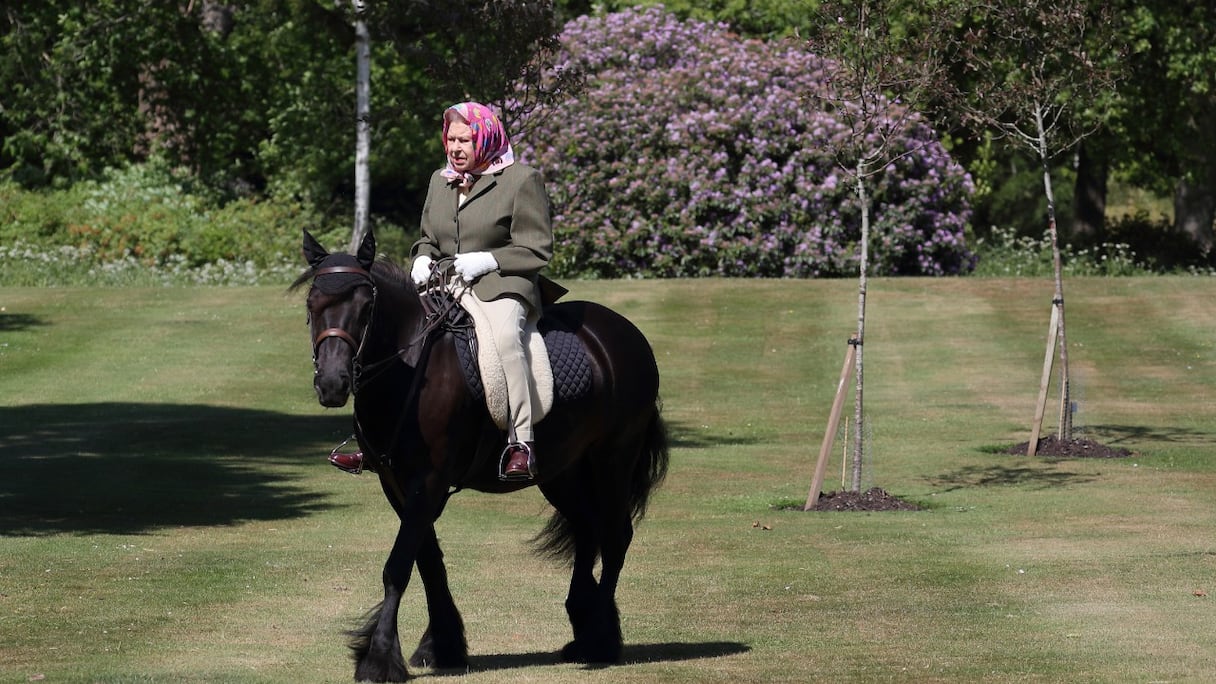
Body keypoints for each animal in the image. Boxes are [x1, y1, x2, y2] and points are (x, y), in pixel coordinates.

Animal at [297, 231, 671, 676]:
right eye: (312, 305)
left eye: (366, 307)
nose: (332, 384)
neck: (410, 366)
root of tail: (624, 333)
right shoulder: (397, 484)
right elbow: (428, 562)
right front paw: (442, 645)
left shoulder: (429, 481)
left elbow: (398, 566)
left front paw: (379, 658)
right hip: (561, 471)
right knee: (586, 529)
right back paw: (584, 629)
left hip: (612, 459)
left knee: (615, 537)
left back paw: (600, 639)